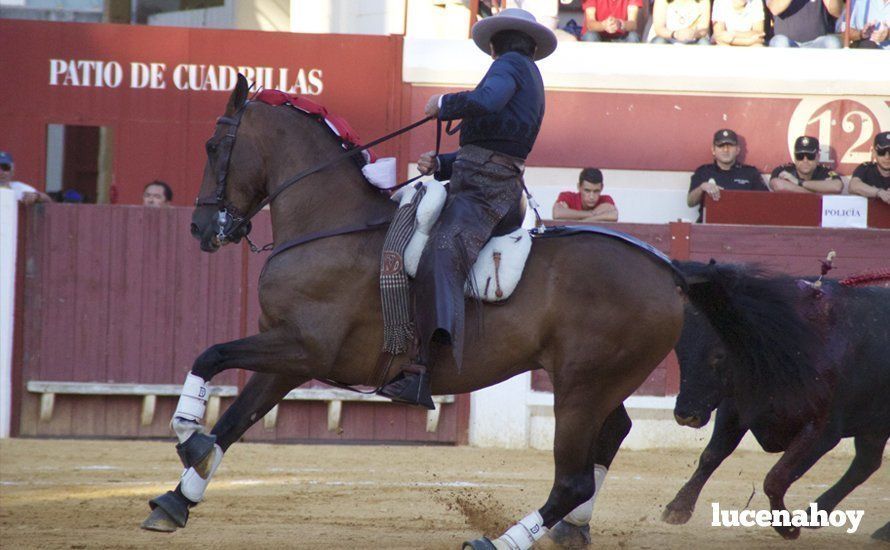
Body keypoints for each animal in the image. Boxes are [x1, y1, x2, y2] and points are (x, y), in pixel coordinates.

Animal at [142, 74, 816, 550]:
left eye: (213, 144)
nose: (201, 228)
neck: (331, 222)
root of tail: (671, 271)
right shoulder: (287, 354)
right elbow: (237, 419)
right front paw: (178, 498)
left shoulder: (304, 347)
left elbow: (209, 356)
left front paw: (185, 432)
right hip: (600, 381)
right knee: (613, 435)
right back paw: (572, 529)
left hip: (581, 385)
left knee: (572, 474)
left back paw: (502, 540)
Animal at [664, 280, 888, 544]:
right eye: (680, 351)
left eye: (719, 354)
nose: (685, 413)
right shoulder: (734, 408)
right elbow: (711, 456)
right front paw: (678, 508)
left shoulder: (823, 431)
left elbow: (777, 477)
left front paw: (787, 527)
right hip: (874, 427)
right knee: (867, 463)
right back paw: (816, 515)